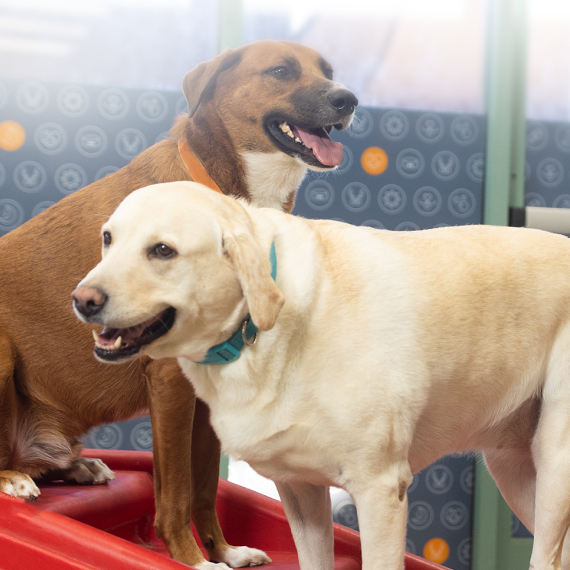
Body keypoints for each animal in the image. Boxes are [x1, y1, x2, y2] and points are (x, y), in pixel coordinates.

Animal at [0, 41, 356, 569]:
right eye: (280, 71)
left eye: (328, 70)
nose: (347, 99)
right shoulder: (168, 382)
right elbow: (175, 493)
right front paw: (193, 560)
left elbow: (205, 487)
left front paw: (225, 551)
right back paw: (15, 478)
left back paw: (79, 468)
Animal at [74, 180, 570, 570]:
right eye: (107, 239)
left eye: (163, 250)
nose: (82, 299)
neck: (255, 330)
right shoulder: (300, 490)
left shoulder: (380, 488)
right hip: (515, 473)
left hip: (553, 467)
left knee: (545, 557)